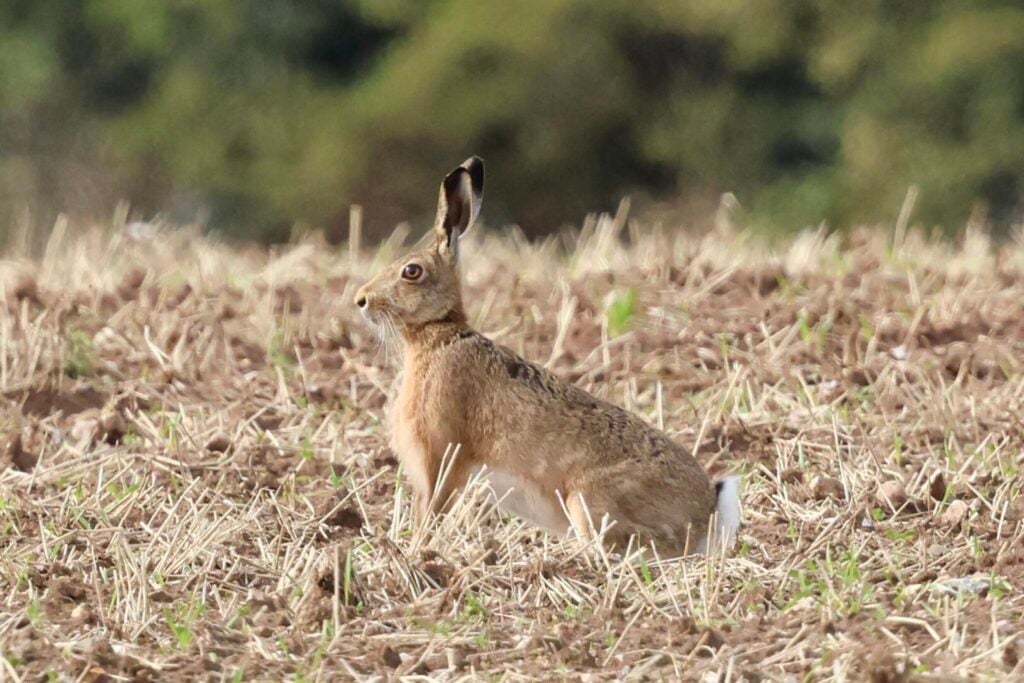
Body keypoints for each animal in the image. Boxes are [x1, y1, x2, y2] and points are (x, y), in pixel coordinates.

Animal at [354, 156, 741, 556]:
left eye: (411, 271)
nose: (361, 300)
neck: (440, 332)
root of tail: (708, 514)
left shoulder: (442, 455)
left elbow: (432, 512)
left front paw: (416, 551)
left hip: (589, 501)